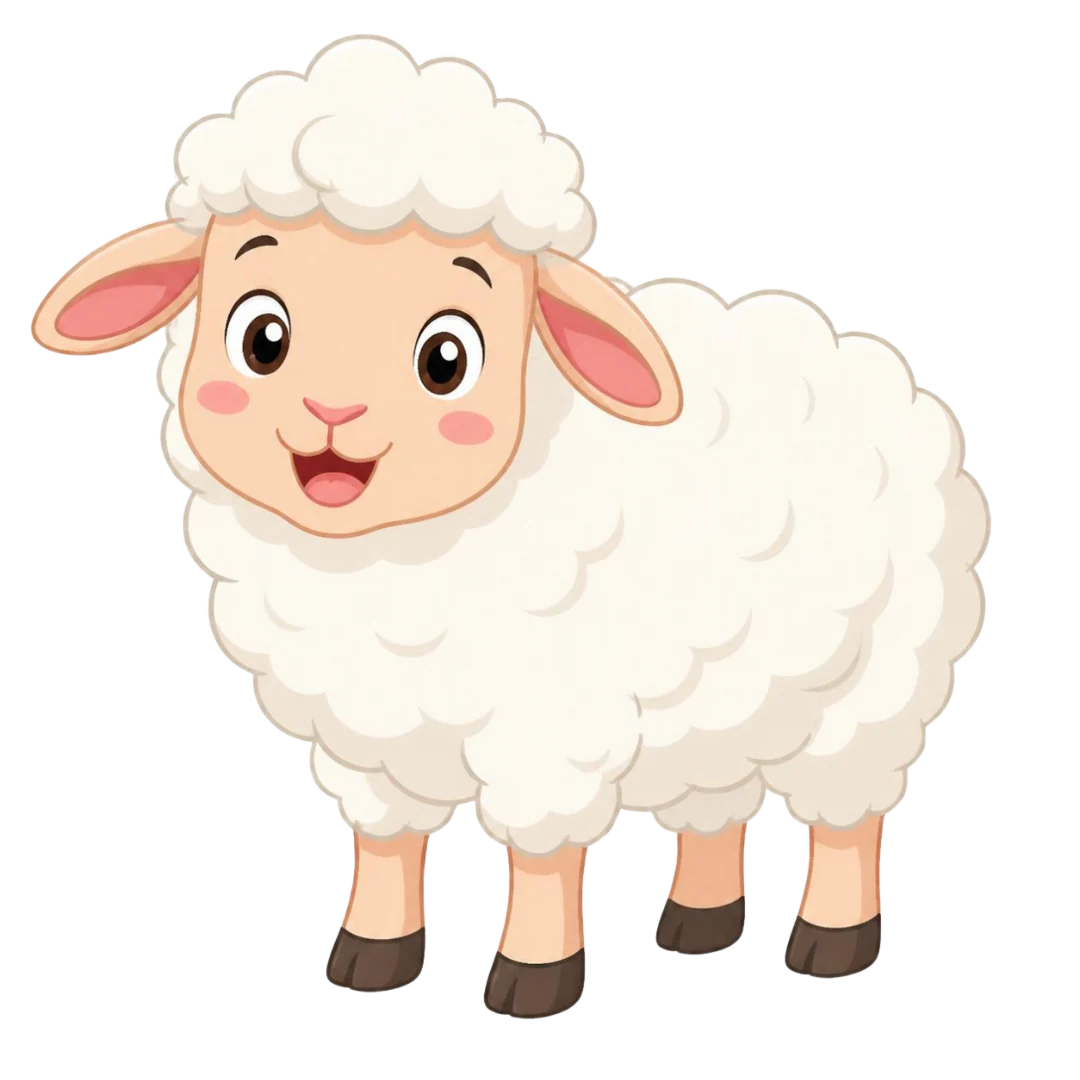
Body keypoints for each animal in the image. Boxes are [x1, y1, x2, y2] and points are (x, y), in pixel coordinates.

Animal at [30, 33, 991, 1017]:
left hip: (871, 693)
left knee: (850, 819)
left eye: (447, 358)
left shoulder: (547, 725)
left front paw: (532, 978)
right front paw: (371, 955)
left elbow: (540, 855)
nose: (332, 413)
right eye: (263, 337)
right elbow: (385, 846)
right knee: (714, 806)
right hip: (726, 704)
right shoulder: (369, 739)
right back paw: (697, 923)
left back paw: (831, 942)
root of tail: (868, 358)